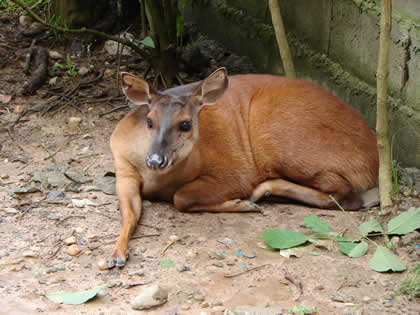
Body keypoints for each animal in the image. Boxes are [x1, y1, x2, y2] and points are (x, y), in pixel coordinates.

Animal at [106, 68, 378, 268]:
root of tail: (375, 157)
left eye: (185, 124)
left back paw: (261, 194)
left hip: (284, 143)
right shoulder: (123, 167)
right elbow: (129, 213)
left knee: (347, 196)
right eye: (149, 121)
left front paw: (240, 203)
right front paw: (116, 254)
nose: (155, 160)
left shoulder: (235, 170)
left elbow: (181, 197)